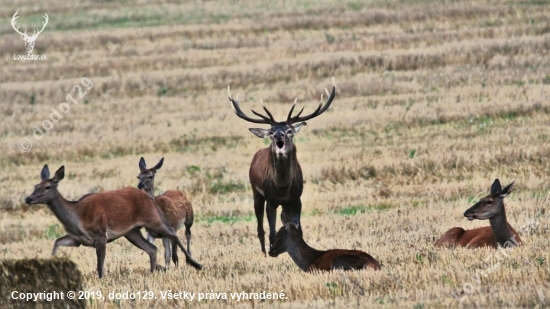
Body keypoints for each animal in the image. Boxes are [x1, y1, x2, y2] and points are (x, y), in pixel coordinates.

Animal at [25, 164, 203, 276]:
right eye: (35, 186)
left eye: (47, 187)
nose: (28, 198)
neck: (77, 218)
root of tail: (149, 197)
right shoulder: (77, 239)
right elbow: (57, 242)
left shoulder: (100, 235)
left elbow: (100, 265)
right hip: (132, 232)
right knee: (152, 248)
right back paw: (153, 272)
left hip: (153, 220)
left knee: (173, 234)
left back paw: (196, 264)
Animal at [227, 80, 338, 254]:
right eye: (271, 132)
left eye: (289, 130)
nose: (279, 135)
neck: (283, 188)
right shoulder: (270, 200)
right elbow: (272, 232)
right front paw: (272, 250)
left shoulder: (296, 199)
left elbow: (298, 229)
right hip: (256, 193)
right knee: (260, 227)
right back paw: (263, 252)